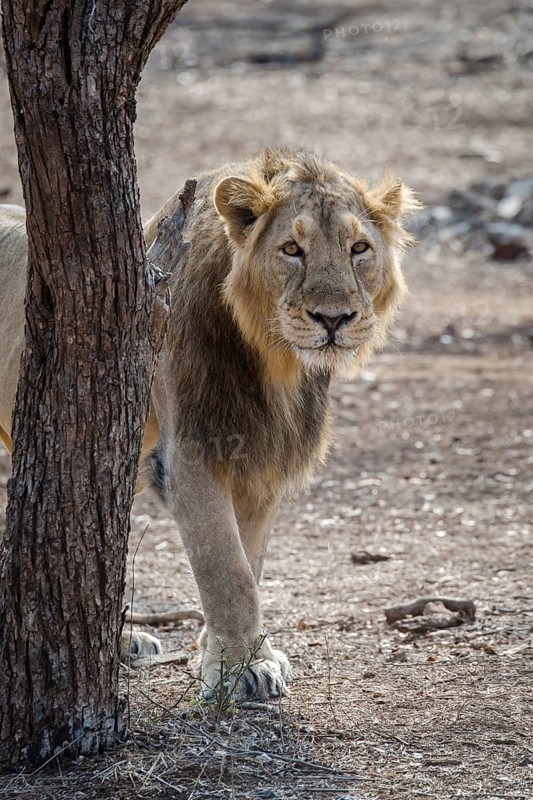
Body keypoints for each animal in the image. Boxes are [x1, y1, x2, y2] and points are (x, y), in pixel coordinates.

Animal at [0, 148, 418, 700]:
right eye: (291, 249)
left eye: (359, 248)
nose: (334, 319)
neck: (273, 364)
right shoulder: (190, 456)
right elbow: (227, 570)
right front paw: (243, 668)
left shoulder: (261, 463)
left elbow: (250, 564)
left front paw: (226, 652)